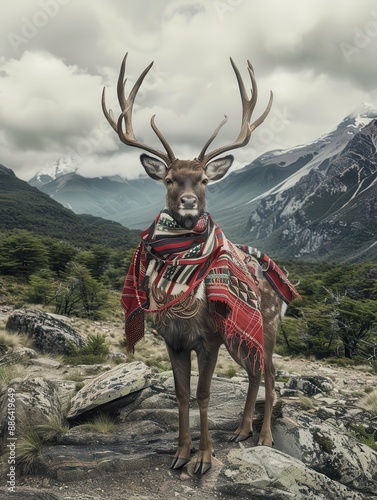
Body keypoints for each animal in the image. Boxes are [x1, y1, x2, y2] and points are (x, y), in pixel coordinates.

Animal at [100, 52, 300, 474]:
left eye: (204, 180)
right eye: (170, 179)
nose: (190, 202)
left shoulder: (209, 337)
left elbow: (204, 394)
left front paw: (204, 458)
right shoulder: (172, 341)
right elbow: (181, 394)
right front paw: (180, 453)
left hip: (269, 324)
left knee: (271, 373)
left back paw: (264, 436)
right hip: (243, 334)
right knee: (254, 371)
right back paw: (241, 429)